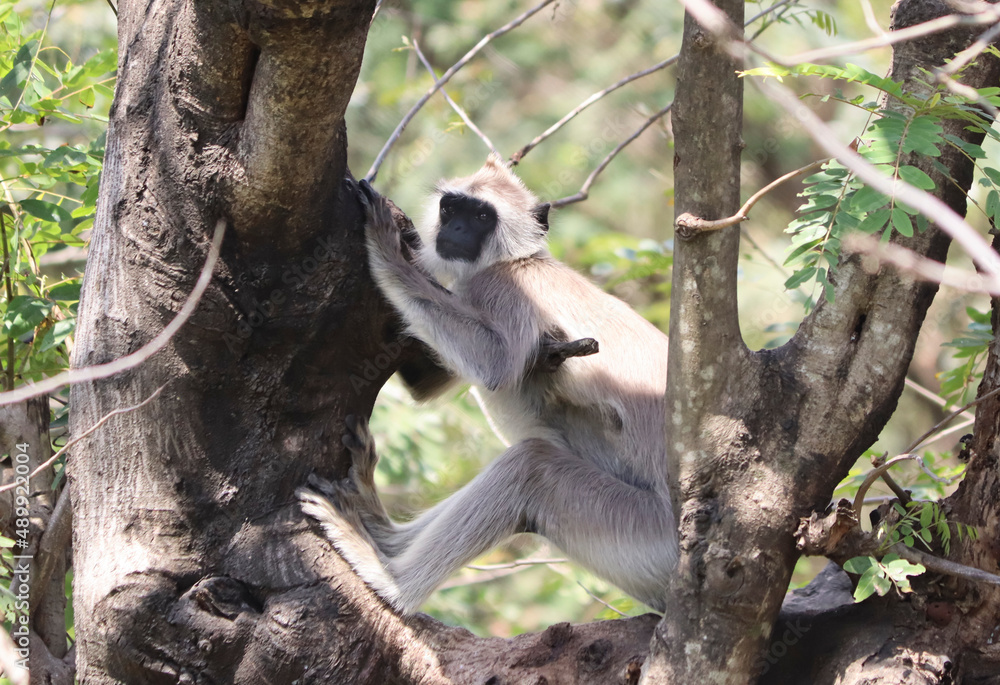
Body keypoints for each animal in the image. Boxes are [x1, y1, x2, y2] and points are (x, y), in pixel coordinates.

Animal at [300, 155, 678, 613]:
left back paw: (393, 580)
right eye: (451, 208)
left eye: (481, 217)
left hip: (646, 535)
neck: (519, 260)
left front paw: (389, 250)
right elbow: (425, 383)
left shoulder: (506, 290)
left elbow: (494, 365)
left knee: (531, 464)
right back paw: (379, 527)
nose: (456, 228)